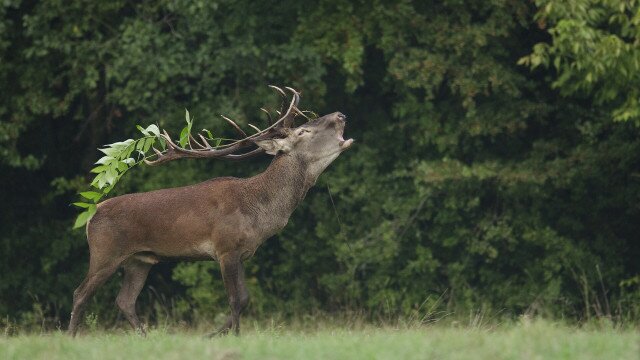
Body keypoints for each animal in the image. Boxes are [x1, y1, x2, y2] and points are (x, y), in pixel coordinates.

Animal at [69, 87, 356, 338]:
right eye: (303, 131)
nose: (341, 115)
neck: (259, 212)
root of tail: (92, 215)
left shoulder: (243, 253)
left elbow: (245, 298)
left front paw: (217, 334)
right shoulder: (224, 248)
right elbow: (235, 299)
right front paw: (228, 336)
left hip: (139, 260)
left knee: (125, 299)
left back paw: (144, 337)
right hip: (105, 253)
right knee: (81, 293)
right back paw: (71, 336)